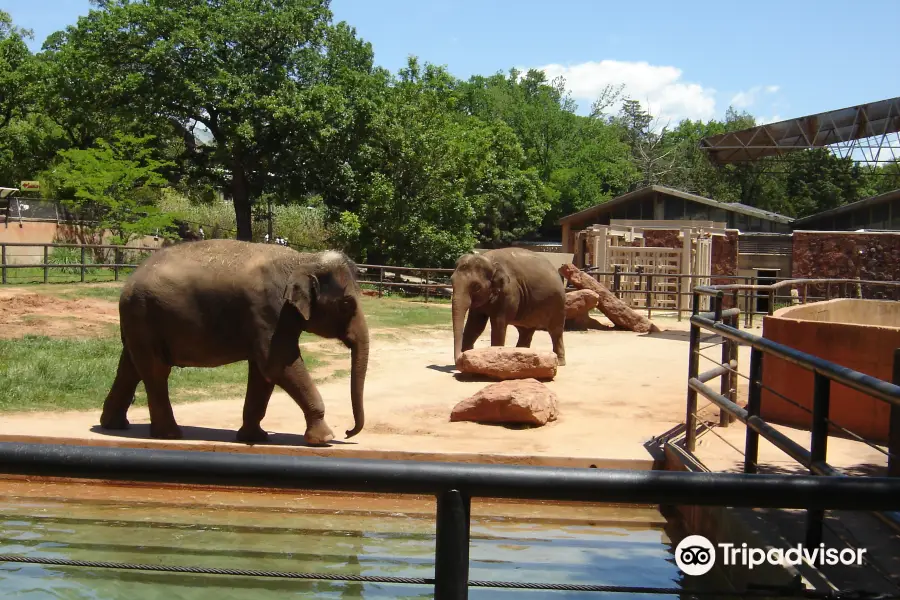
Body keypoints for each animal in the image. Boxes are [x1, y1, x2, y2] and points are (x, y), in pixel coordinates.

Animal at [96, 239, 368, 446]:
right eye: (347, 304)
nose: (347, 432)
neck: (302, 260)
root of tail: (129, 280)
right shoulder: (269, 311)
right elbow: (277, 364)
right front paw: (324, 439)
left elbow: (263, 373)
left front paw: (255, 437)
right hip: (143, 315)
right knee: (155, 370)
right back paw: (170, 435)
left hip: (138, 322)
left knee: (130, 367)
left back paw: (114, 426)